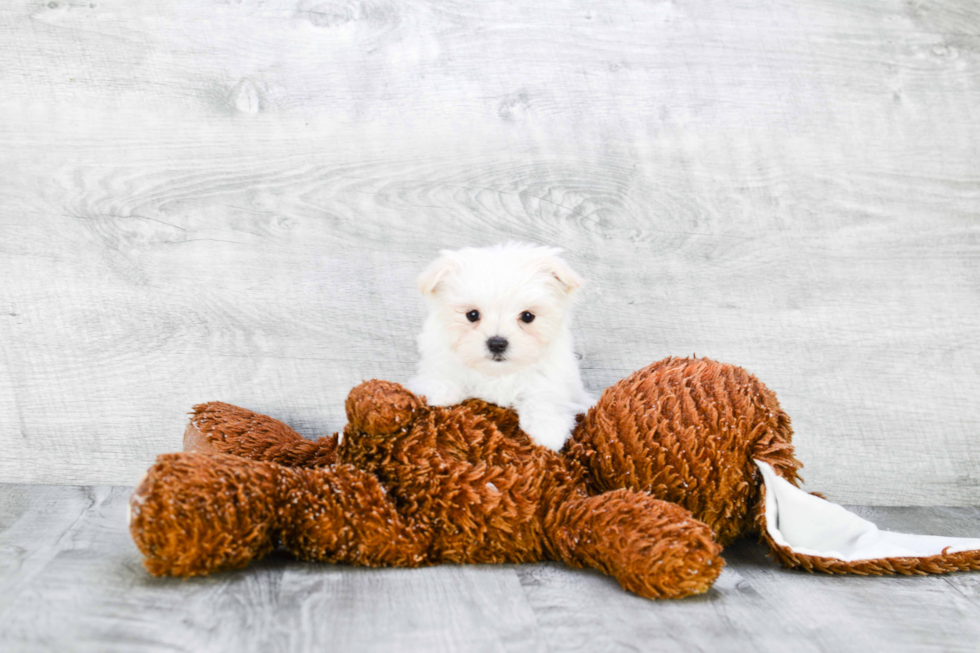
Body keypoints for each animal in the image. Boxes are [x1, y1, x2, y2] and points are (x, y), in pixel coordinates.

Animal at [408, 242, 592, 450]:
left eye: (527, 316)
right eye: (472, 315)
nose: (497, 343)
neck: (497, 374)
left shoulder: (552, 379)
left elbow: (545, 398)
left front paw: (547, 431)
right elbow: (443, 374)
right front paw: (438, 392)